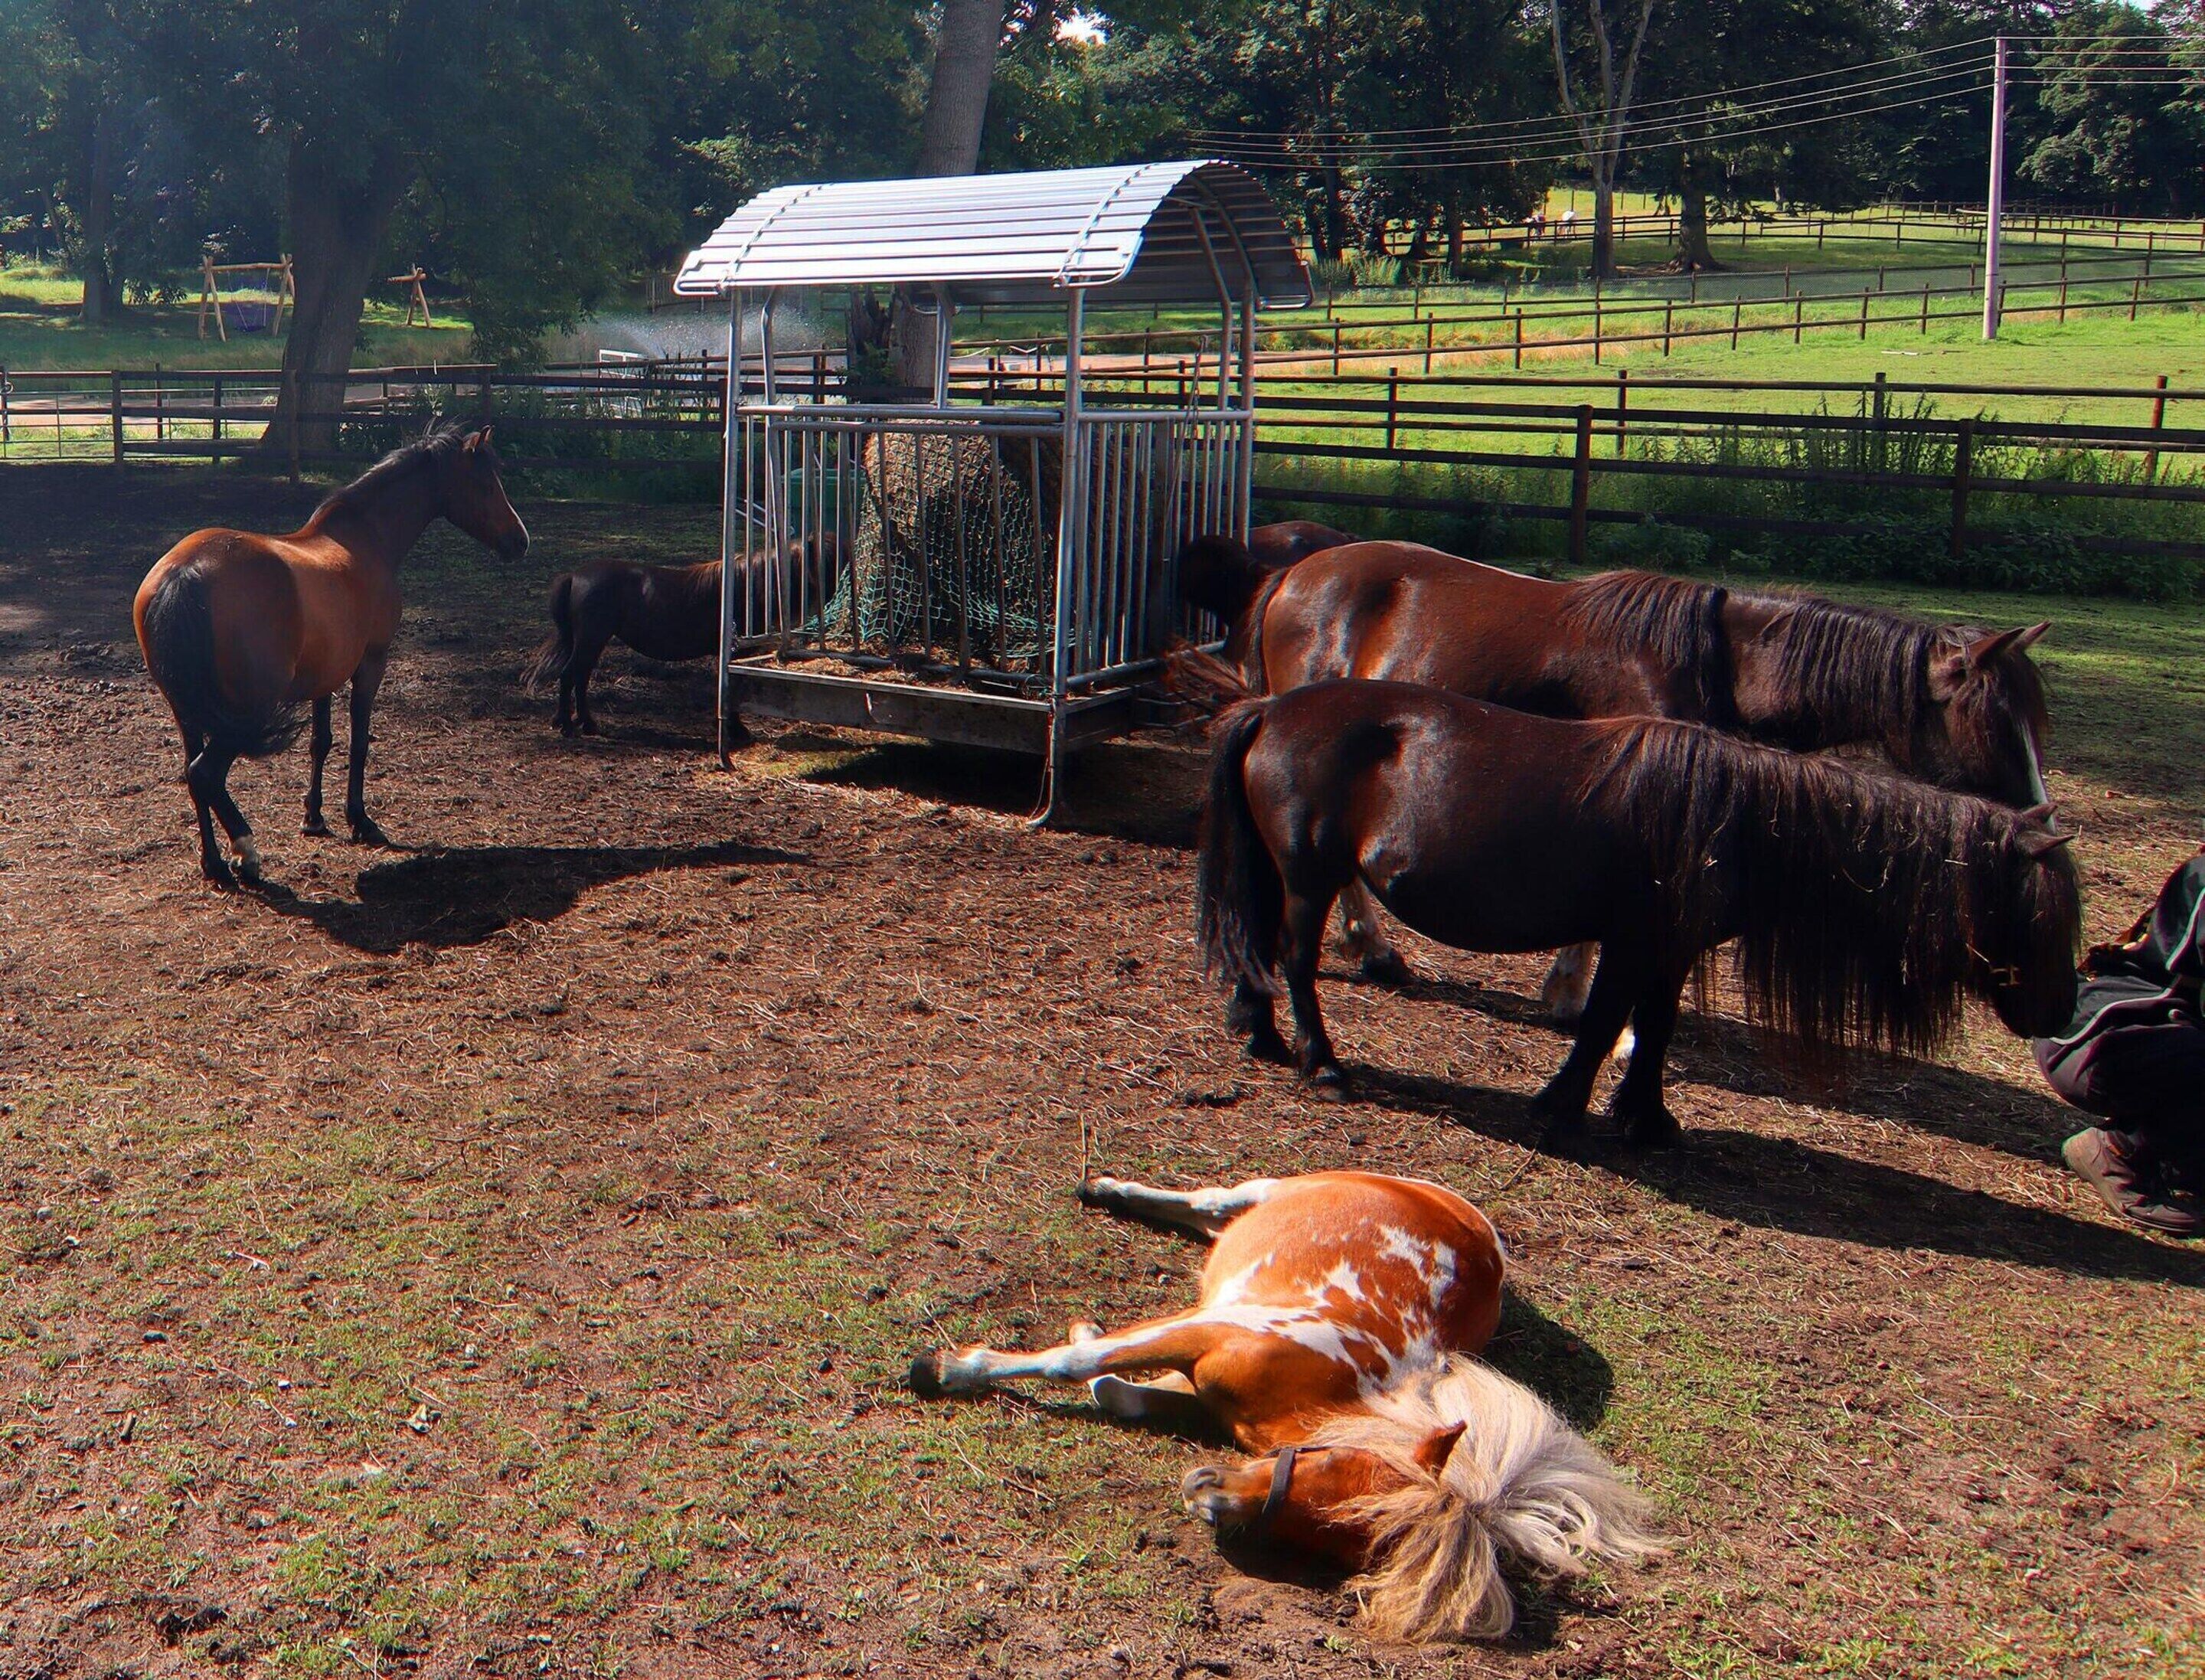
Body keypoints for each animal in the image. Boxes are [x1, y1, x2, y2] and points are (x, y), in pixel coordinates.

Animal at [134, 425, 528, 888]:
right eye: (486, 484)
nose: (520, 541)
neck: (364, 538)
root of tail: (184, 571)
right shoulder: (371, 663)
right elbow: (359, 741)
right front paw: (360, 820)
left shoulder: (324, 675)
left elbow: (320, 743)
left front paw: (314, 817)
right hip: (247, 710)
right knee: (204, 773)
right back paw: (246, 852)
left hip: (187, 710)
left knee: (194, 775)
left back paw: (213, 863)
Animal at [910, 1170, 1661, 1641]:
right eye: (1332, 1464)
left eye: (1339, 1542)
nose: (1207, 1495)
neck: (1334, 1377)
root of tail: (1467, 1214)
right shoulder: (1205, 1328)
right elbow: (1078, 1365)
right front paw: (951, 1368)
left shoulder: (1199, 1382)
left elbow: (1117, 1392)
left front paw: (1081, 1335)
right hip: (1278, 1188)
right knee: (1214, 1200)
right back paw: (1108, 1190)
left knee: (1211, 1214)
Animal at [1196, 682, 2079, 1150]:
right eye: (2038, 916)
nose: (2062, 1016)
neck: (1737, 818)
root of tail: (1272, 709)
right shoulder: (1631, 942)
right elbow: (1601, 1024)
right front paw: (1560, 1108)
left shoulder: (1672, 950)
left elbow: (1653, 1027)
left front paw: (1646, 1118)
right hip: (1310, 879)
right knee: (1297, 964)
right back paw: (1321, 1064)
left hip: (1284, 877)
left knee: (1261, 954)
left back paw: (1262, 1036)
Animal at [1219, 540, 2053, 1007]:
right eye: (1991, 723)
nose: (2040, 819)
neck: (1721, 659)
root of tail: (1292, 575)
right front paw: (1580, 997)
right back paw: (1370, 947)